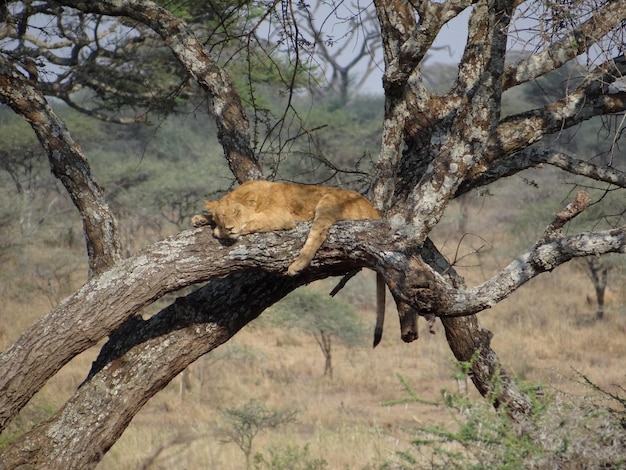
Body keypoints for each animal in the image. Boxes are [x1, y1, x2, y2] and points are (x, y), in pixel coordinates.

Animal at [191, 182, 386, 346]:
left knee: (318, 234)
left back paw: (296, 266)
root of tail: (375, 213)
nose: (229, 227)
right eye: (222, 215)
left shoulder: (281, 217)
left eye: (236, 213)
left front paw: (220, 231)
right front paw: (200, 218)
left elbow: (252, 222)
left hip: (328, 201)